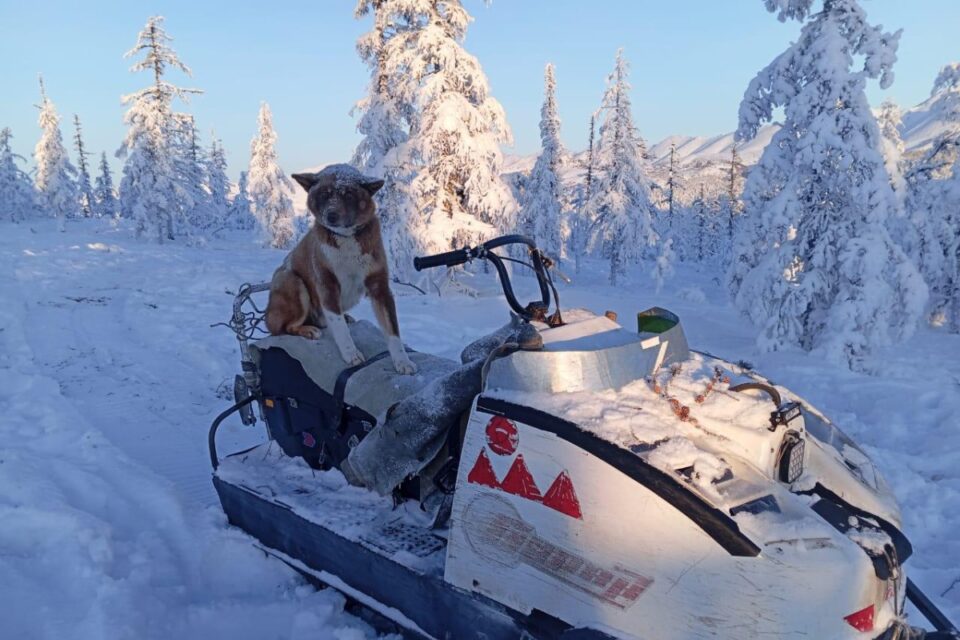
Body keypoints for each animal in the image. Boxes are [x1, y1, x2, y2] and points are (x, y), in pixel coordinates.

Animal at [262, 164, 416, 376]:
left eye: (349, 194)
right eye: (324, 194)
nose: (331, 215)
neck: (346, 238)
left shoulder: (380, 287)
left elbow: (392, 330)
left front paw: (402, 361)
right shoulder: (327, 285)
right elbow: (340, 327)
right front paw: (351, 354)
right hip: (292, 281)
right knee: (284, 327)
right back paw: (307, 330)